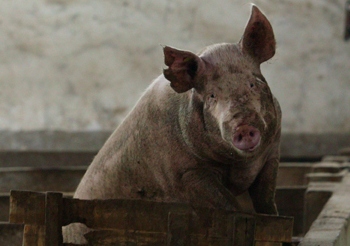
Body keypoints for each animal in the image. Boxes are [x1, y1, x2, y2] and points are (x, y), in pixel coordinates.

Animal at [63, 4, 282, 244]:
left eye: (252, 84)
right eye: (212, 96)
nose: (243, 127)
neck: (240, 165)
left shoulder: (271, 154)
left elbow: (267, 201)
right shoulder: (187, 173)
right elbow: (231, 206)